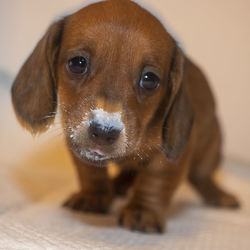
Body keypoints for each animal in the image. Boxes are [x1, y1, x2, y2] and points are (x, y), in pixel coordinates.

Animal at [10, 0, 239, 233]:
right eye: (78, 63)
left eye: (149, 79)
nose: (104, 131)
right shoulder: (77, 142)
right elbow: (90, 172)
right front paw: (93, 196)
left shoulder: (170, 155)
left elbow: (155, 180)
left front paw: (143, 211)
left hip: (210, 152)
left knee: (202, 177)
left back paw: (219, 195)